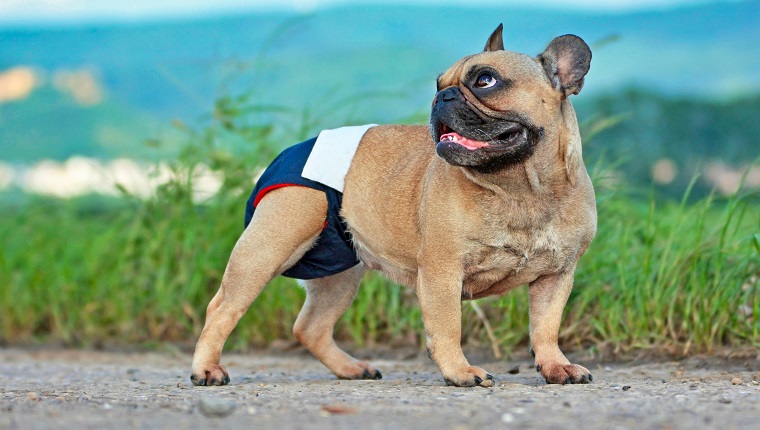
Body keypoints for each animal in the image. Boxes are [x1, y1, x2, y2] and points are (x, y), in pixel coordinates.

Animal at [189, 23, 592, 388]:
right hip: (270, 246)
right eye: (439, 83)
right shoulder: (442, 272)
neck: (520, 188)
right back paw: (206, 369)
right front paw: (460, 372)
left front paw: (556, 366)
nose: (442, 97)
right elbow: (449, 326)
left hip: (339, 273)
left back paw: (351, 369)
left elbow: (545, 327)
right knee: (222, 308)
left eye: (485, 81)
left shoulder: (556, 276)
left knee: (311, 327)